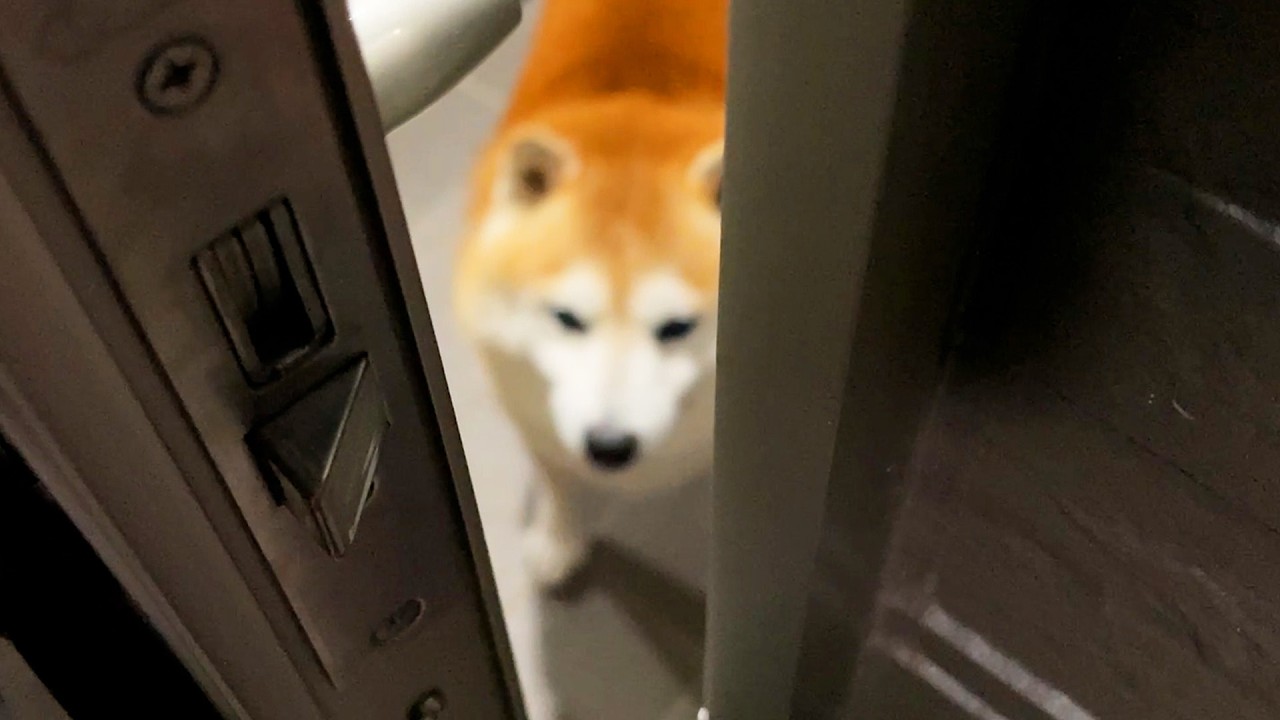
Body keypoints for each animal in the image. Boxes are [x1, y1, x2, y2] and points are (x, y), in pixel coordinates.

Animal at [455, 0, 727, 588]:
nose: (609, 446)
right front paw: (559, 540)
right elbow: (560, 482)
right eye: (566, 318)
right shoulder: (537, 418)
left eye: (677, 327)